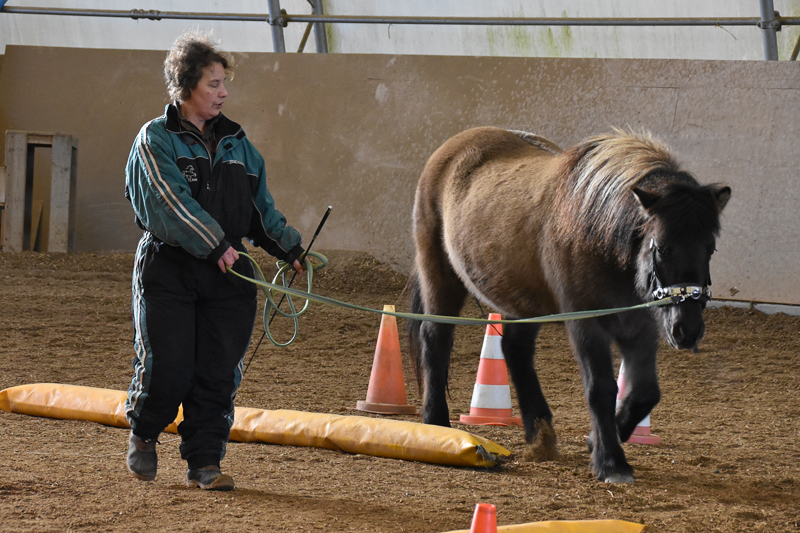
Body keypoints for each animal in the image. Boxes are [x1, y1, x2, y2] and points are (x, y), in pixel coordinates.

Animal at [410, 125, 728, 482]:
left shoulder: (639, 327)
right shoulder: (586, 323)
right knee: (435, 339)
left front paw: (598, 440)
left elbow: (645, 392)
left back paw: (540, 433)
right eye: (661, 247)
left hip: (519, 301)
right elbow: (600, 389)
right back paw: (437, 422)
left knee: (516, 351)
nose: (687, 330)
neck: (599, 235)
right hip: (440, 274)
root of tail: (456, 145)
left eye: (710, 248)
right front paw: (611, 462)